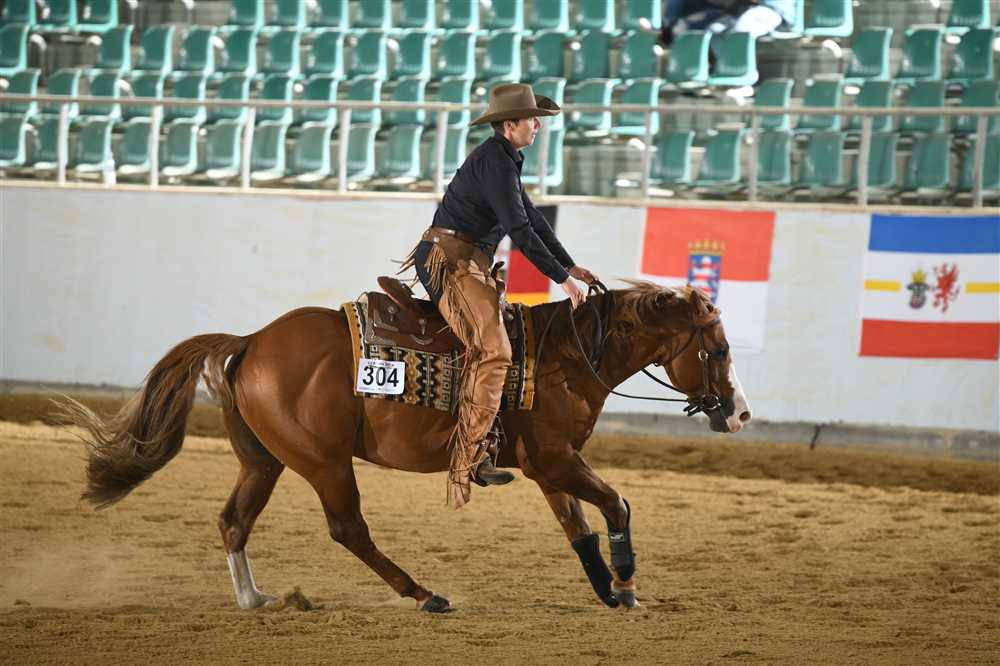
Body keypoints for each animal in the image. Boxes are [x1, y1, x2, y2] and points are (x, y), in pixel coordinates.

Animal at [57, 281, 751, 612]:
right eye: (717, 349)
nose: (741, 413)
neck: (568, 355)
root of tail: (250, 340)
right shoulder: (556, 459)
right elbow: (617, 505)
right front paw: (628, 585)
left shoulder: (547, 466)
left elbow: (578, 529)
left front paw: (608, 590)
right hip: (325, 463)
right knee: (348, 530)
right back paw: (425, 595)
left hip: (265, 461)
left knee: (234, 521)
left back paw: (255, 599)